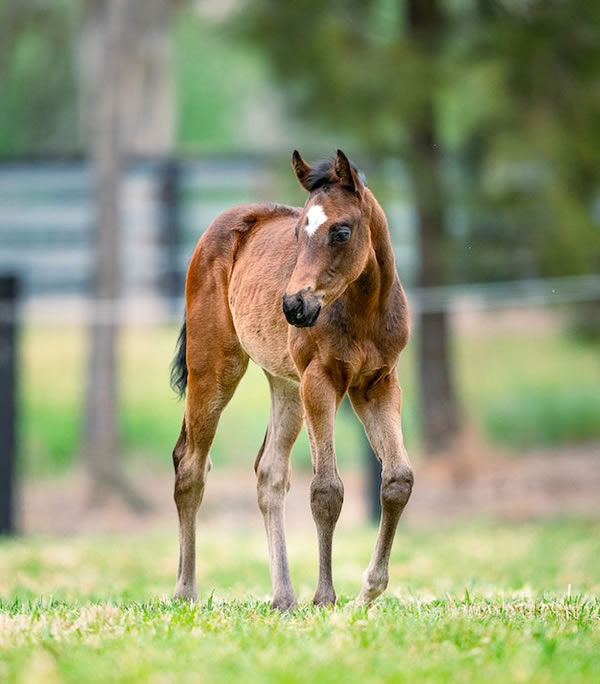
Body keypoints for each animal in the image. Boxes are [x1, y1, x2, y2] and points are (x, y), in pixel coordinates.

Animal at [169, 150, 412, 608]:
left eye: (341, 231)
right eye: (299, 232)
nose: (294, 305)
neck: (363, 309)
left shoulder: (378, 384)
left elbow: (397, 480)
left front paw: (368, 592)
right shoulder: (321, 380)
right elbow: (326, 490)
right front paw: (325, 598)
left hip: (286, 385)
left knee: (269, 472)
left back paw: (283, 598)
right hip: (215, 368)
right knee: (190, 466)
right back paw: (185, 591)